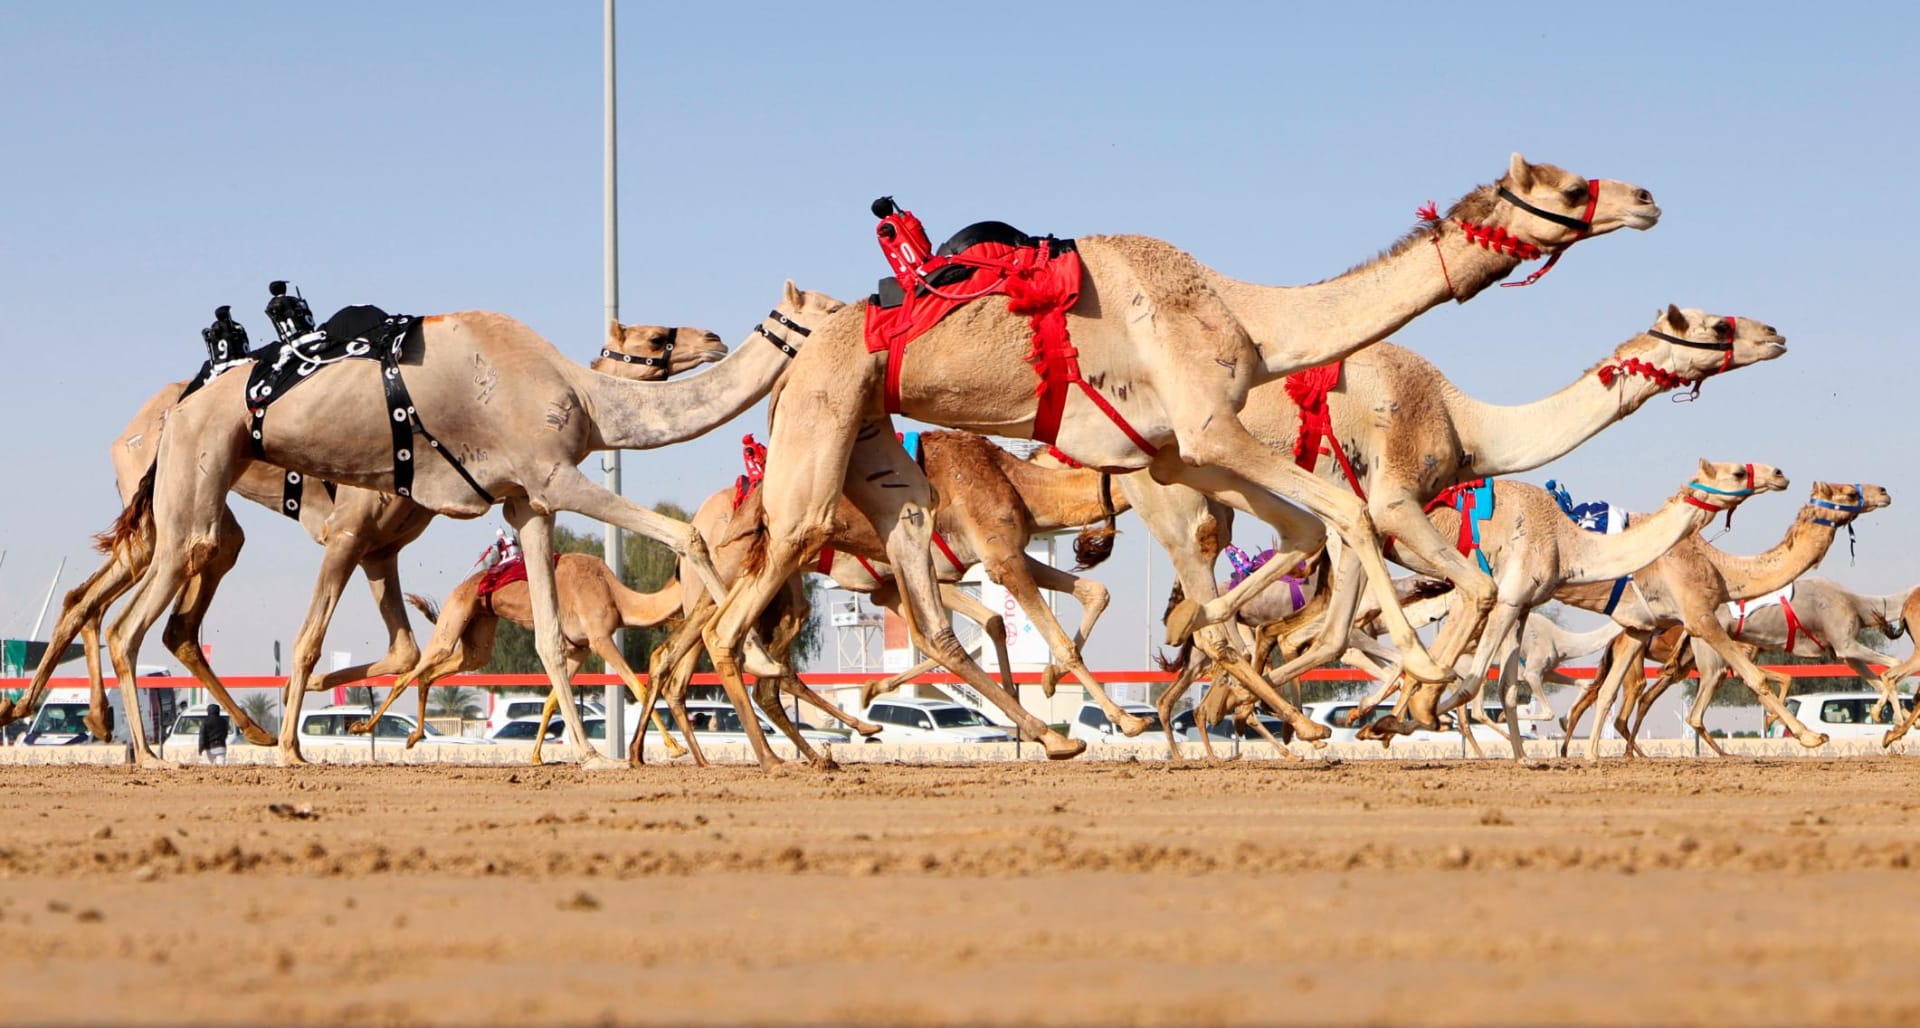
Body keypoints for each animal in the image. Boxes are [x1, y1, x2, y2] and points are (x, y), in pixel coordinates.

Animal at [95, 286, 833, 768]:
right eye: (656, 337)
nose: (711, 337)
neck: (584, 397)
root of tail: (177, 404)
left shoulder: (526, 504)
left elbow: (549, 638)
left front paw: (590, 753)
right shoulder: (552, 477)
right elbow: (687, 536)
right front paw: (758, 655)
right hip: (194, 487)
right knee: (131, 620)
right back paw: (163, 754)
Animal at [645, 430, 1128, 768]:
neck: (1015, 484)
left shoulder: (916, 579)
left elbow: (1091, 593)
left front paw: (1042, 685)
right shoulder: (985, 560)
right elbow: (989, 632)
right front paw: (1120, 720)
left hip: (770, 589)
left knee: (718, 662)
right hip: (726, 577)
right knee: (709, 650)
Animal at [698, 152, 1658, 764]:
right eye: (1573, 186)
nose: (1646, 196)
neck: (1247, 317)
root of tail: (805, 354)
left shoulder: (1180, 454)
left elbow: (1305, 539)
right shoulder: (1207, 431)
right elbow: (1349, 516)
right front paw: (1415, 679)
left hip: (875, 449)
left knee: (921, 588)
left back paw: (1053, 735)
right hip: (816, 433)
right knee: (736, 610)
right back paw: (790, 756)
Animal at [1543, 480, 1889, 757]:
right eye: (1848, 491)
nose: (1883, 491)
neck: (1718, 567)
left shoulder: (1647, 628)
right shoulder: (1701, 619)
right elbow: (1758, 678)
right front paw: (1811, 736)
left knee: (1608, 696)